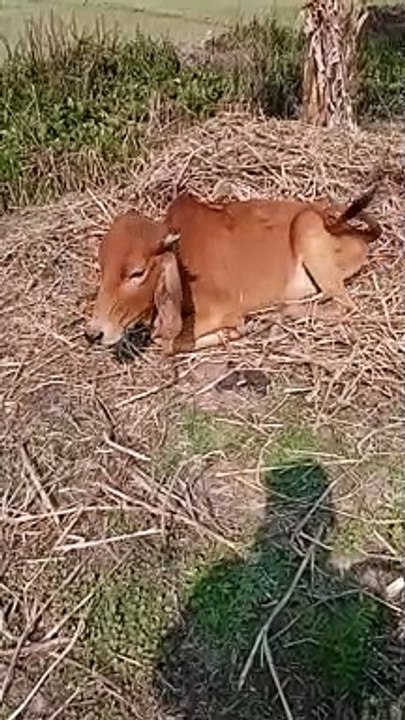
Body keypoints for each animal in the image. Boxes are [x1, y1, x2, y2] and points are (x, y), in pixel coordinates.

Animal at [85, 186, 381, 354]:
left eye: (136, 273)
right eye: (103, 270)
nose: (93, 334)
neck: (185, 256)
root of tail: (355, 233)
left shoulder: (224, 308)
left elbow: (165, 342)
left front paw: (232, 332)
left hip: (307, 228)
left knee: (345, 306)